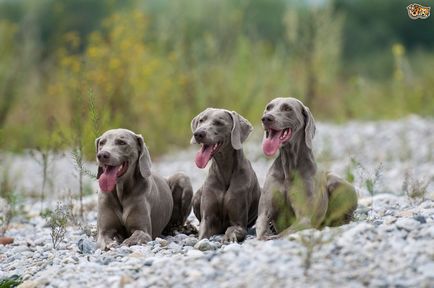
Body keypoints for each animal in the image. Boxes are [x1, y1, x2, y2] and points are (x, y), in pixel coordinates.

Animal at [191, 109, 260, 242]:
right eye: (201, 120)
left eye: (219, 123)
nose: (198, 133)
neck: (225, 169)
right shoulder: (208, 218)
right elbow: (202, 234)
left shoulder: (239, 223)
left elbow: (232, 229)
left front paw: (229, 237)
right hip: (197, 195)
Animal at [256, 98, 358, 240]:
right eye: (268, 108)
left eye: (287, 108)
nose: (266, 118)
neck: (289, 167)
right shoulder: (264, 213)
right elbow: (261, 229)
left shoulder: (305, 218)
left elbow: (284, 233)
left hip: (337, 182)